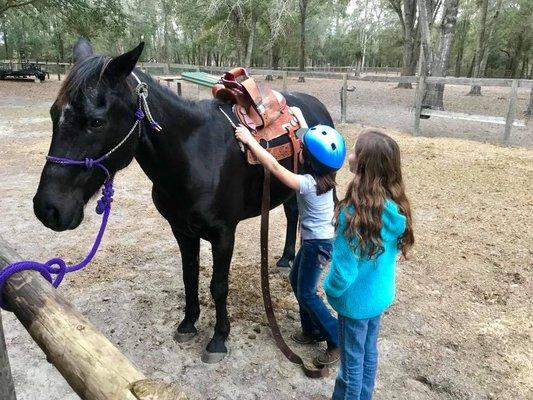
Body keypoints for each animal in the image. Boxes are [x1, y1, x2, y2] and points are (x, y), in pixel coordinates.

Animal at [32, 39, 332, 362]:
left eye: (96, 122)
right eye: (53, 114)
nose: (47, 209)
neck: (194, 156)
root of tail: (317, 105)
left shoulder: (224, 233)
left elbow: (218, 286)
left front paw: (218, 339)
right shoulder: (182, 230)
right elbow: (190, 276)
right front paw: (188, 324)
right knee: (292, 213)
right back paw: (286, 258)